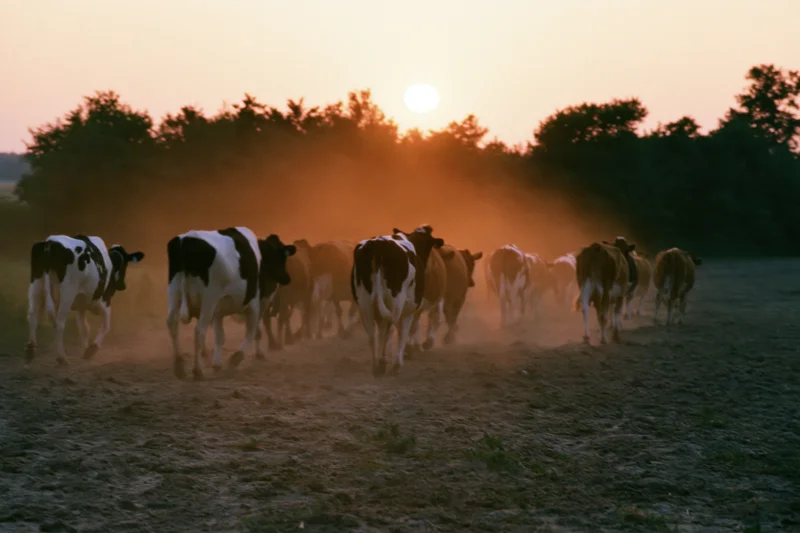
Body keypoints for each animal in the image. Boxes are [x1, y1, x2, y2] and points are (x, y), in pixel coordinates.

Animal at [26, 235, 145, 364]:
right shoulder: (105, 301)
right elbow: (106, 326)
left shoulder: (80, 306)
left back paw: (31, 349)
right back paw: (62, 357)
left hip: (36, 284)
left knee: (32, 315)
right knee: (59, 323)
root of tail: (51, 242)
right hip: (67, 292)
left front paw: (85, 349)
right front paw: (91, 349)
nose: (123, 286)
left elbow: (84, 328)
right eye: (125, 265)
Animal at [166, 227, 296, 380]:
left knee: (172, 323)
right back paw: (197, 370)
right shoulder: (254, 304)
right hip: (208, 299)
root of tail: (186, 240)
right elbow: (253, 331)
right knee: (199, 330)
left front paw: (217, 363)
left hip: (174, 293)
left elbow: (220, 336)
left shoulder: (218, 311)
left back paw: (179, 366)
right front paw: (237, 358)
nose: (287, 278)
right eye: (281, 258)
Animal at [351, 224, 445, 376]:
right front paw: (399, 362)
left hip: (364, 303)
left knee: (372, 334)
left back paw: (376, 365)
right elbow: (404, 331)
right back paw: (384, 363)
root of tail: (379, 244)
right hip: (396, 301)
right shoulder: (410, 309)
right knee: (390, 328)